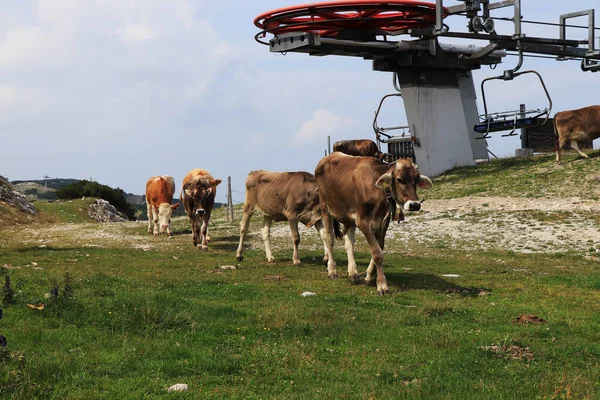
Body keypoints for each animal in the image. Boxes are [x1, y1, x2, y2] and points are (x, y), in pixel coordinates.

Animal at [314, 152, 432, 296]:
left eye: (416, 179)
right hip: (325, 208)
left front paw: (370, 276)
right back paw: (332, 270)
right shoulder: (363, 222)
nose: (414, 204)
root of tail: (328, 156)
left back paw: (352, 272)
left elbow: (379, 247)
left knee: (349, 243)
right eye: (399, 179)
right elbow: (377, 253)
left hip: (349, 217)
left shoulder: (383, 222)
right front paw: (382, 285)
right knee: (329, 238)